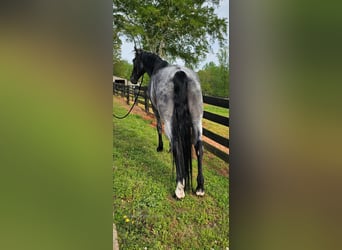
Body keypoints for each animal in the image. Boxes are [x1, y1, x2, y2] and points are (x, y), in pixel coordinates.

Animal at [130, 47, 204, 199]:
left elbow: (159, 128)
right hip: (197, 118)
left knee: (176, 142)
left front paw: (160, 147)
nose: (132, 79)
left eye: (134, 61)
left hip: (167, 116)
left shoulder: (156, 109)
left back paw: (179, 188)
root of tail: (180, 73)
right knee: (198, 145)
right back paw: (200, 187)